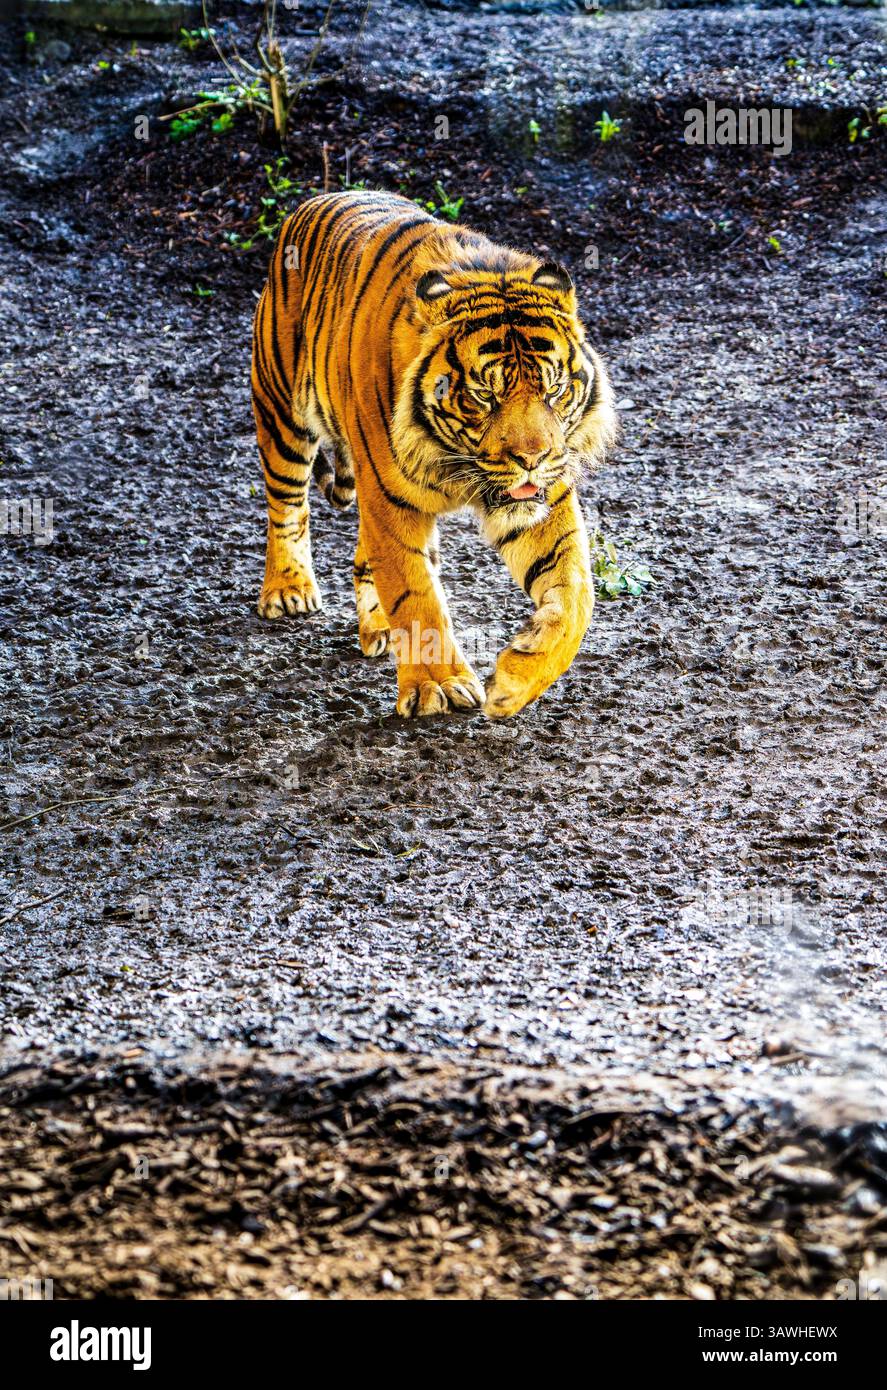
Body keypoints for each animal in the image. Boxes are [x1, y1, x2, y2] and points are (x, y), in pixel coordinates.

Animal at [251, 190, 617, 718]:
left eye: (555, 390)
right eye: (485, 396)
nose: (532, 458)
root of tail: (317, 200)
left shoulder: (544, 500)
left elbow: (576, 594)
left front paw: (515, 680)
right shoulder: (391, 502)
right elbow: (416, 594)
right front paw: (438, 686)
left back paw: (378, 626)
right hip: (281, 412)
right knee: (286, 506)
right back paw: (288, 590)